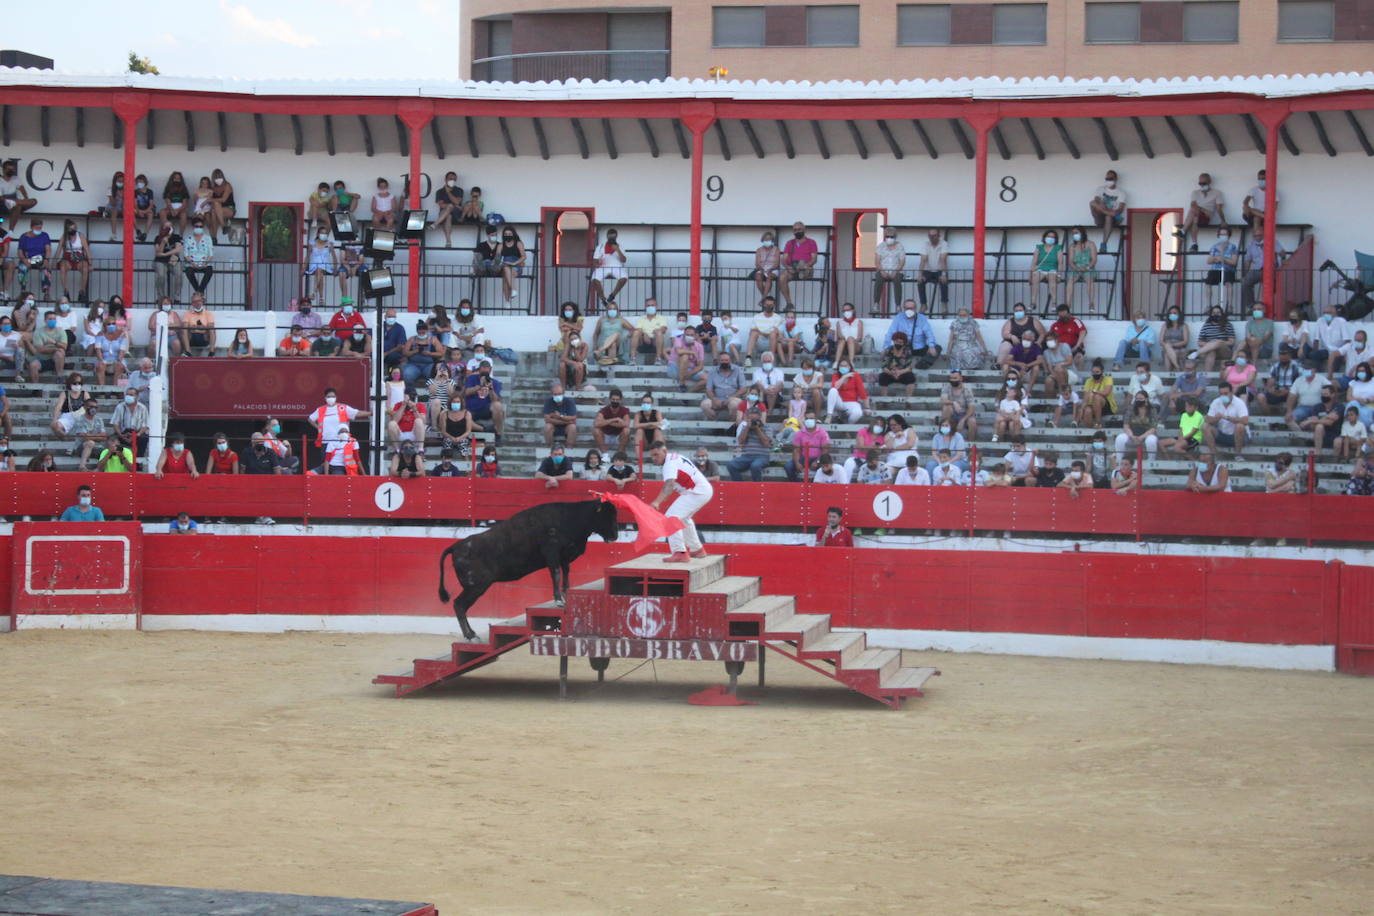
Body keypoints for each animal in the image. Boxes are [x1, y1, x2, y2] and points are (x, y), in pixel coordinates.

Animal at [436, 502, 621, 637]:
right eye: (605, 515)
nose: (615, 535)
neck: (570, 517)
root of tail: (456, 546)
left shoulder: (564, 557)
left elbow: (566, 574)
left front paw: (566, 594)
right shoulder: (552, 551)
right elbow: (556, 573)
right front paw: (559, 600)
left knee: (460, 606)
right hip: (476, 586)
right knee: (459, 605)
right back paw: (470, 635)